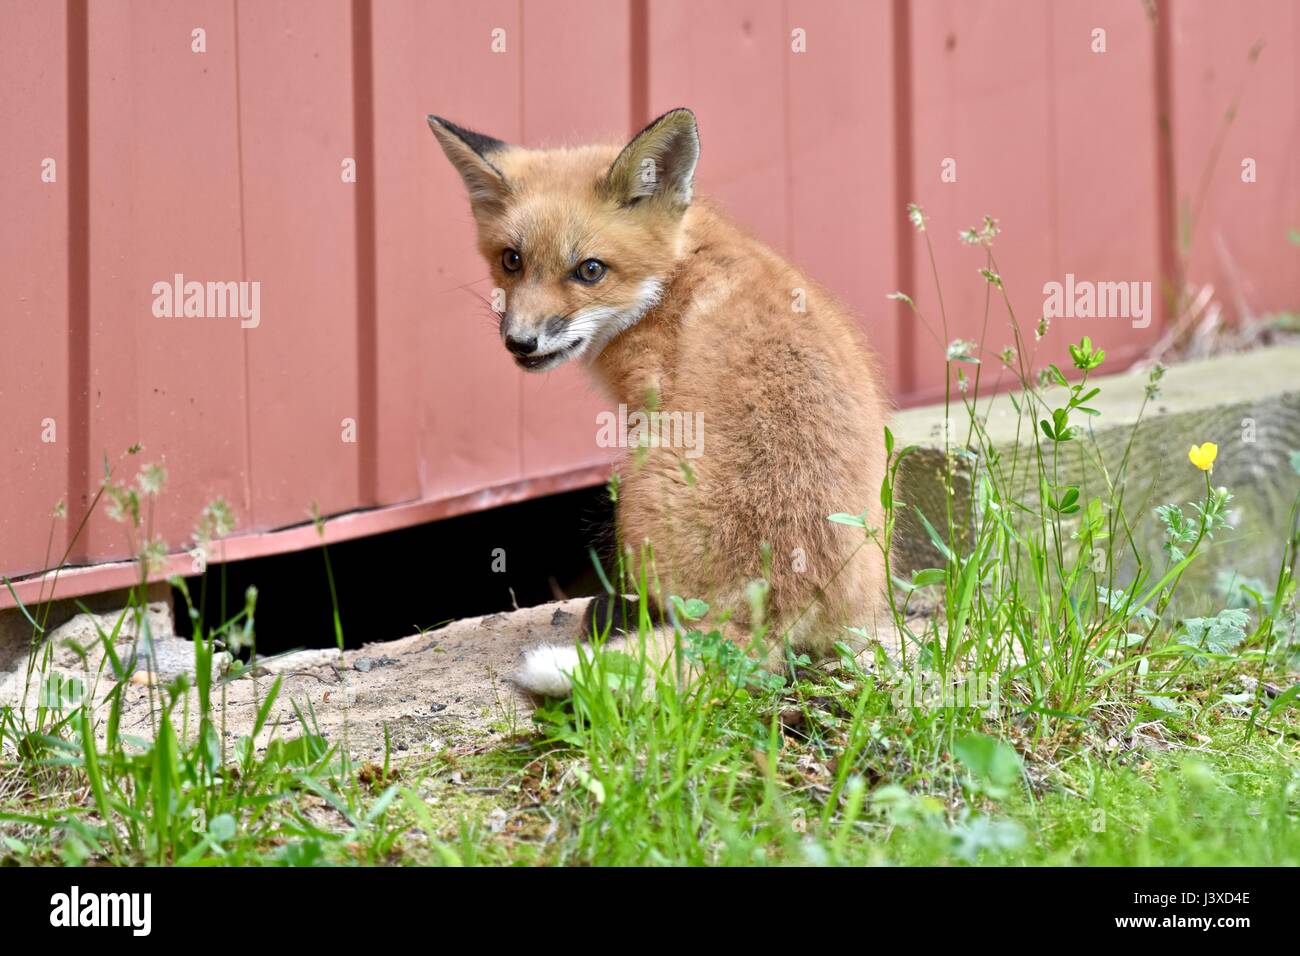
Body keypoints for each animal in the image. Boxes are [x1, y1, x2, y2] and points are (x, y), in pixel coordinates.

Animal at [431, 110, 889, 697]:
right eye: (512, 261)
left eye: (590, 270)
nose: (521, 343)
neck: (673, 276)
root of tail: (772, 604)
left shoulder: (647, 400)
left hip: (637, 482)